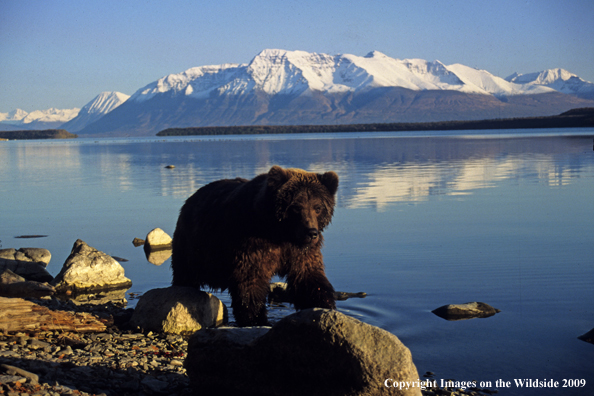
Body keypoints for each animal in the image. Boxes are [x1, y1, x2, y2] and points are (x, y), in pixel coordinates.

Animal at [171, 166, 338, 326]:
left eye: (318, 207)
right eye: (296, 207)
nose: (311, 232)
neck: (280, 233)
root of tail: (191, 198)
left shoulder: (301, 251)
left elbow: (308, 277)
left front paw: (325, 307)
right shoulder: (251, 243)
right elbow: (250, 281)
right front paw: (256, 319)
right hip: (193, 247)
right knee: (184, 275)